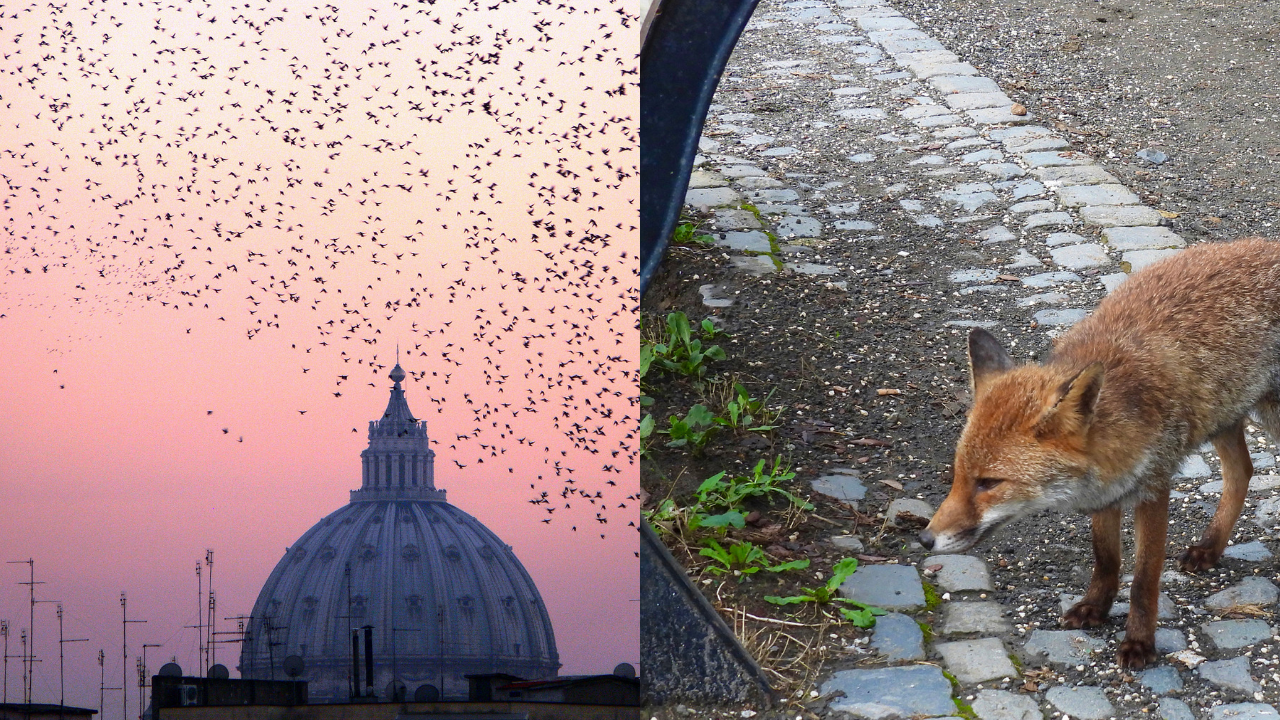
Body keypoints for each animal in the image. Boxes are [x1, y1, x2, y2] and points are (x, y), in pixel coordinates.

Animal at [921, 238, 1280, 666]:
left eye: (989, 483)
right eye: (957, 475)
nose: (924, 540)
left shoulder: (1154, 487)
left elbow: (1143, 580)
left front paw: (1139, 642)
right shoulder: (1105, 493)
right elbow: (1106, 557)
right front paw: (1096, 606)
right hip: (1221, 414)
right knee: (1242, 472)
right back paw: (1211, 547)